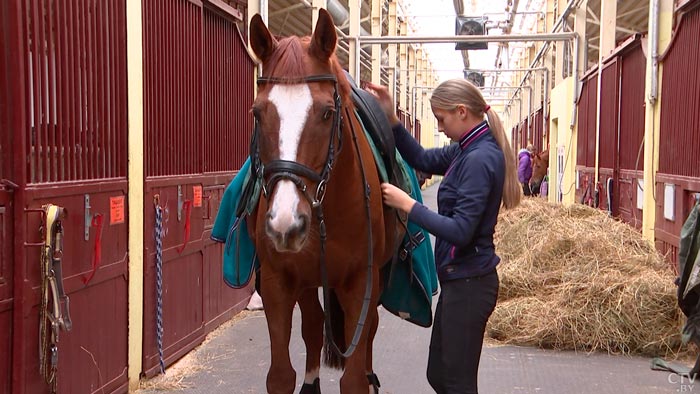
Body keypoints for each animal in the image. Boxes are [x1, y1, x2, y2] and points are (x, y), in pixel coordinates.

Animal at [247, 9, 402, 394]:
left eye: (327, 112)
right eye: (257, 113)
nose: (286, 223)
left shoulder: (360, 283)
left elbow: (354, 377)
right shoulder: (277, 282)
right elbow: (280, 375)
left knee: (368, 332)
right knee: (315, 325)